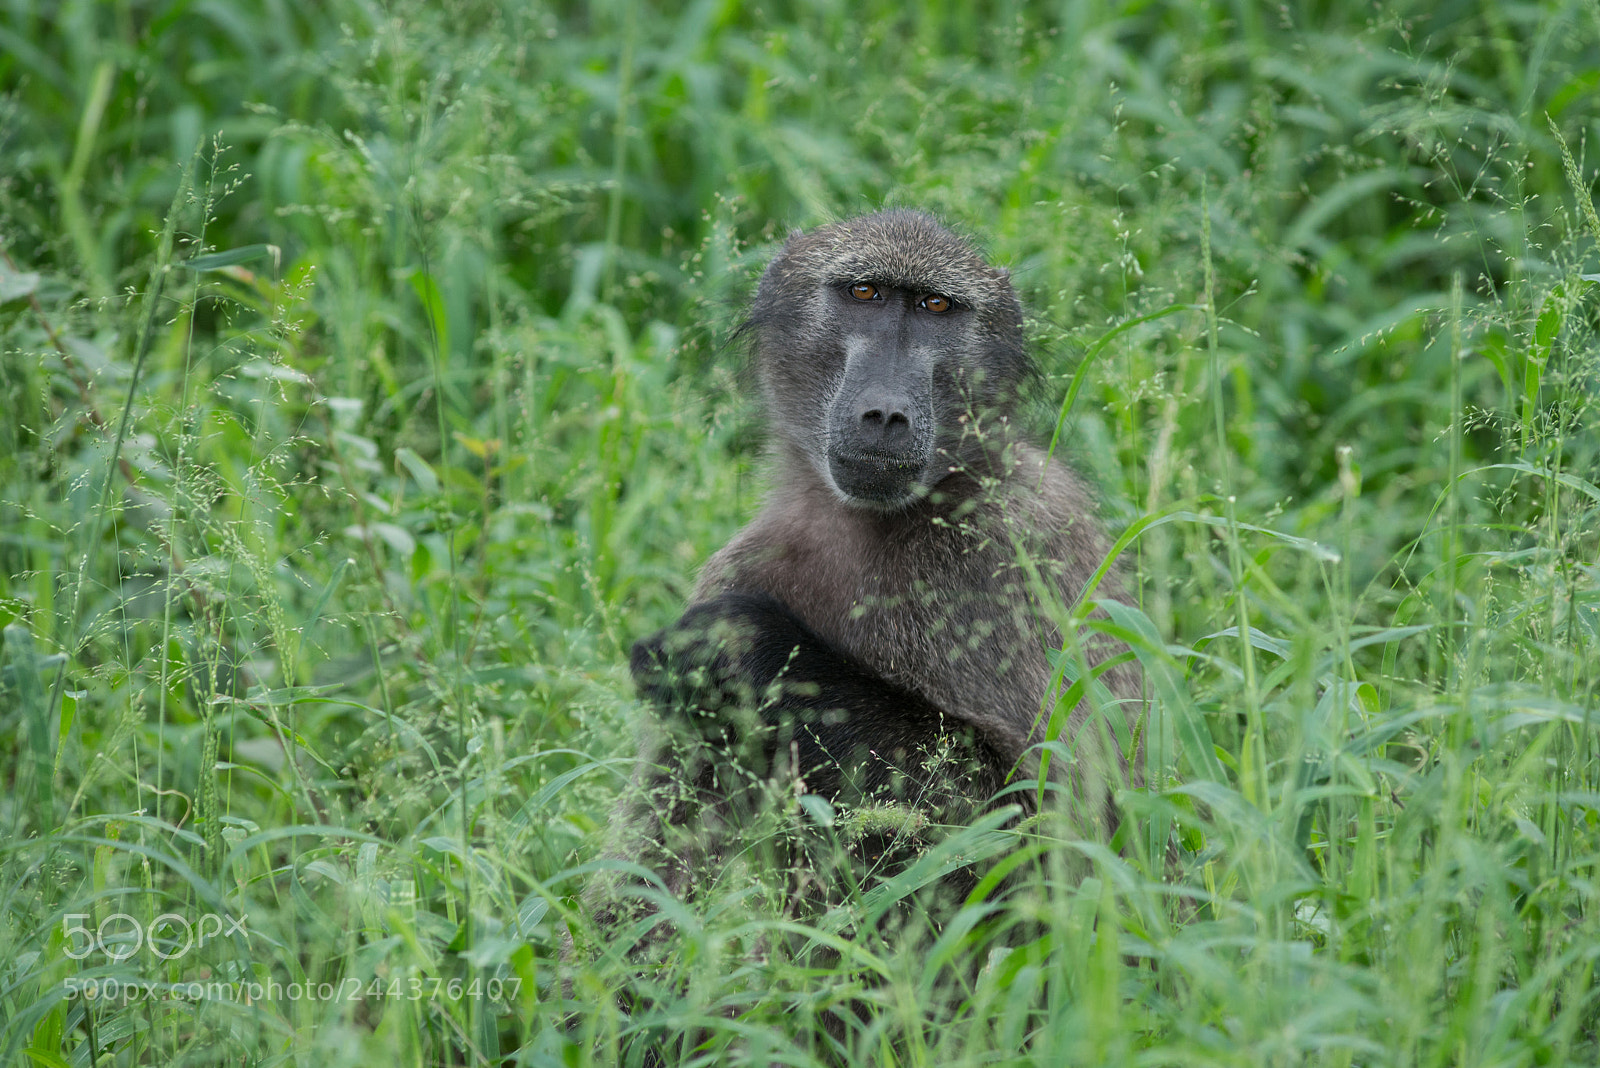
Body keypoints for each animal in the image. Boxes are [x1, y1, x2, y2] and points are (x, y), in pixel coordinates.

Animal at [590, 209, 1142, 941]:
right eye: (864, 294)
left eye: (937, 307)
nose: (886, 413)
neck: (874, 521)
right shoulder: (744, 562)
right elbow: (654, 878)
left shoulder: (1028, 542)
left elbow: (1052, 839)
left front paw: (746, 646)